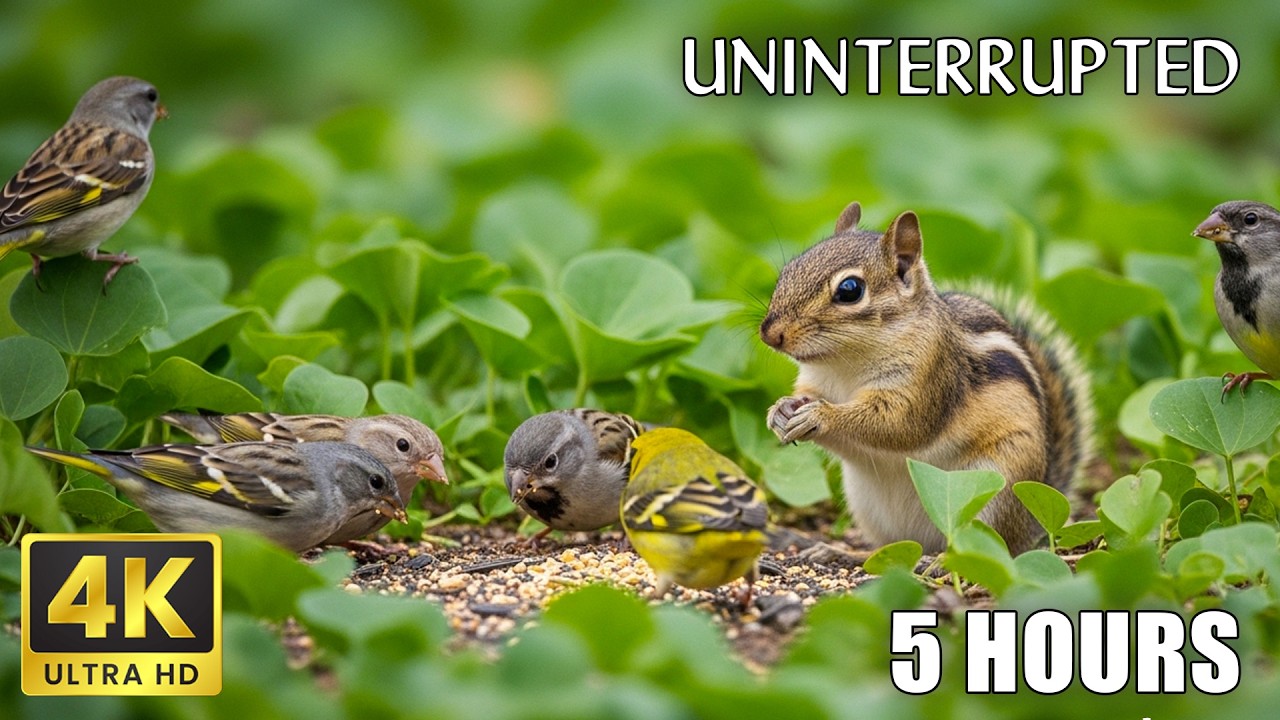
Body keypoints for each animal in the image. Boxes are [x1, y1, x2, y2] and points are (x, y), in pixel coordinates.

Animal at [760, 202, 1094, 555]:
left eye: (850, 290)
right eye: (789, 270)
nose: (769, 333)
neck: (844, 363)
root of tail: (1031, 524)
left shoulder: (929, 379)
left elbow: (900, 425)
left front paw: (820, 416)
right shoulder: (816, 382)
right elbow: (805, 396)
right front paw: (780, 410)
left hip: (997, 487)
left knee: (982, 545)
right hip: (865, 504)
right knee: (896, 547)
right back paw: (841, 550)